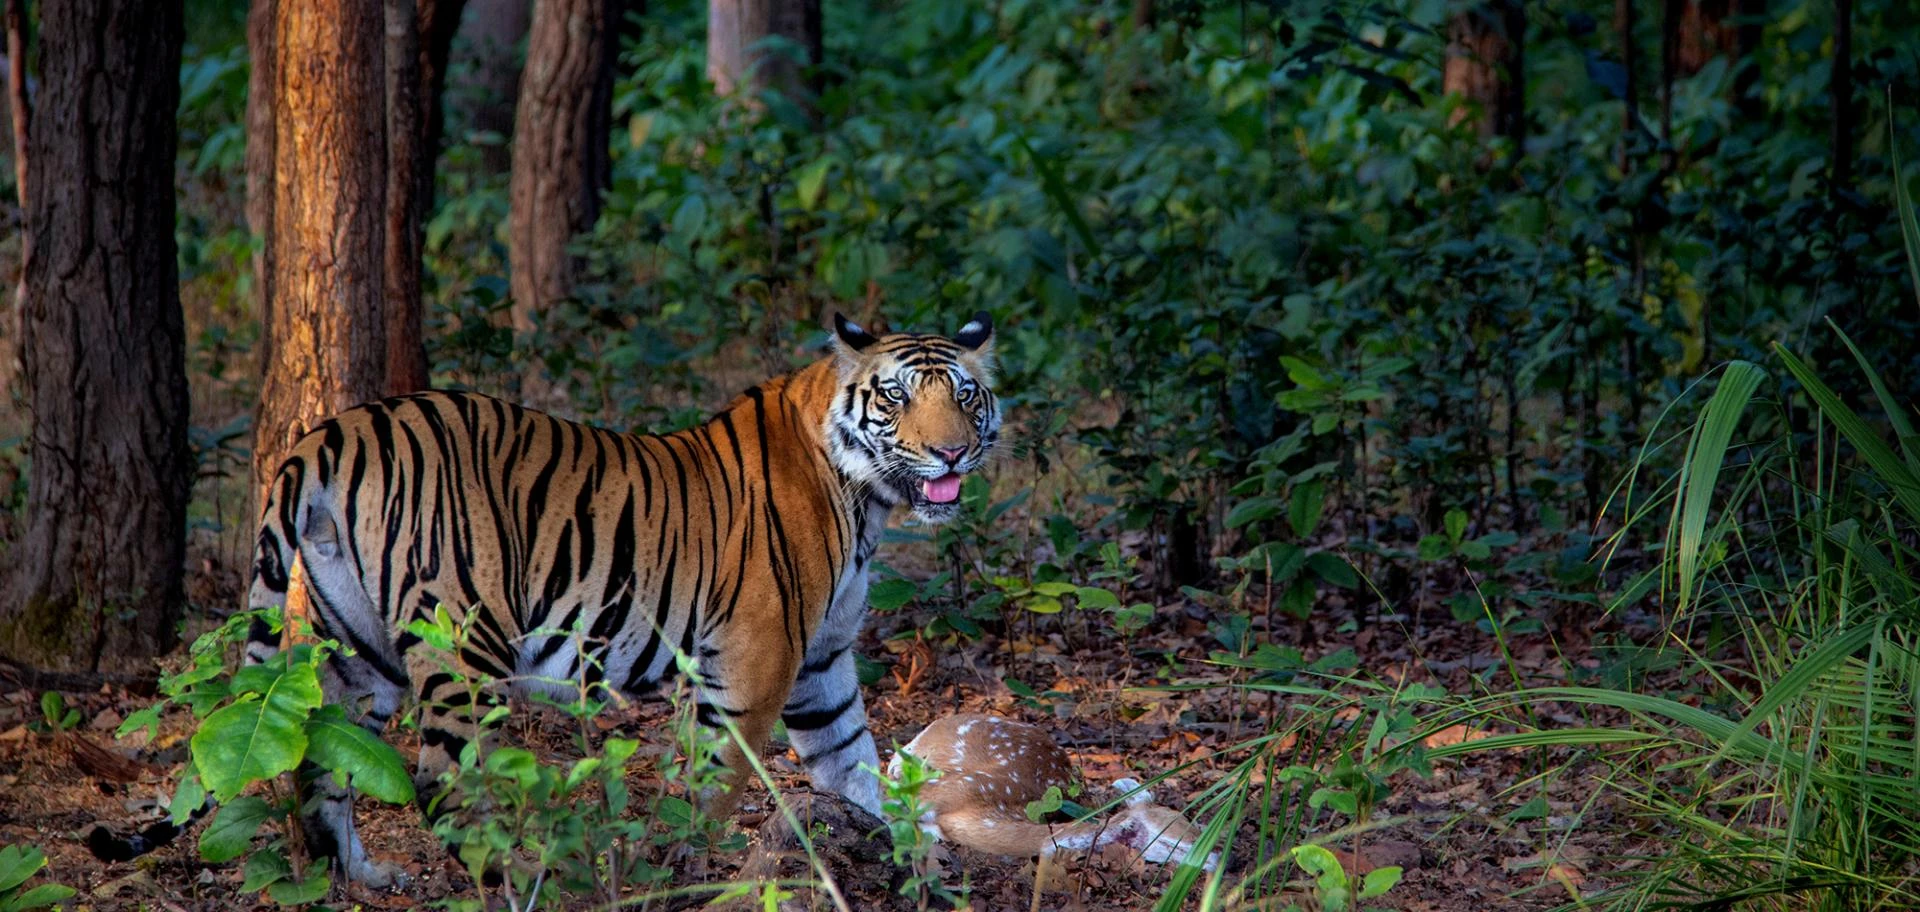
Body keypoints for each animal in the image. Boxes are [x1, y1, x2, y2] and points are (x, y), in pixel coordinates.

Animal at [88, 312, 1001, 886]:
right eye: (894, 397)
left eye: (965, 395)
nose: (952, 453)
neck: (867, 498)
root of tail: (329, 433)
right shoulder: (756, 659)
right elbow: (717, 783)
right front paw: (689, 866)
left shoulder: (822, 666)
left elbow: (859, 768)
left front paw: (916, 859)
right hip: (467, 639)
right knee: (442, 782)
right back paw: (529, 875)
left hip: (360, 648)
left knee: (326, 762)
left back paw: (363, 877)